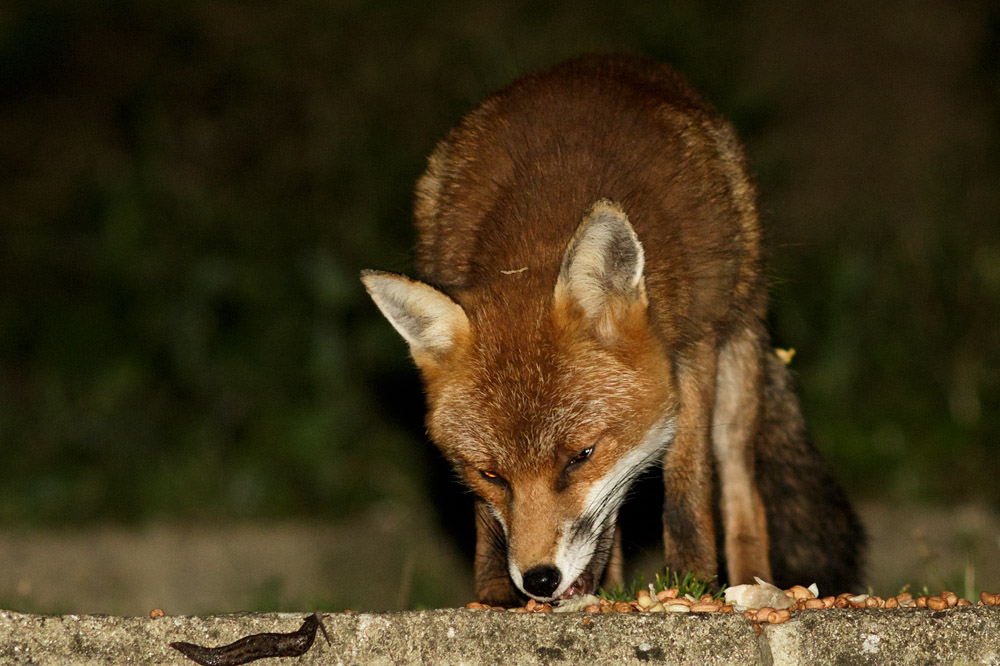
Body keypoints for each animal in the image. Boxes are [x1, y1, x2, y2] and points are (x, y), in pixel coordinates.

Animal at [361, 54, 864, 606]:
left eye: (581, 457)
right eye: (491, 474)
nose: (539, 581)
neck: (546, 221)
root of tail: (597, 62)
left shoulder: (693, 352)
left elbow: (687, 490)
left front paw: (692, 582)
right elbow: (487, 521)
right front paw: (493, 597)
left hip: (738, 350)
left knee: (738, 483)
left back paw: (753, 584)